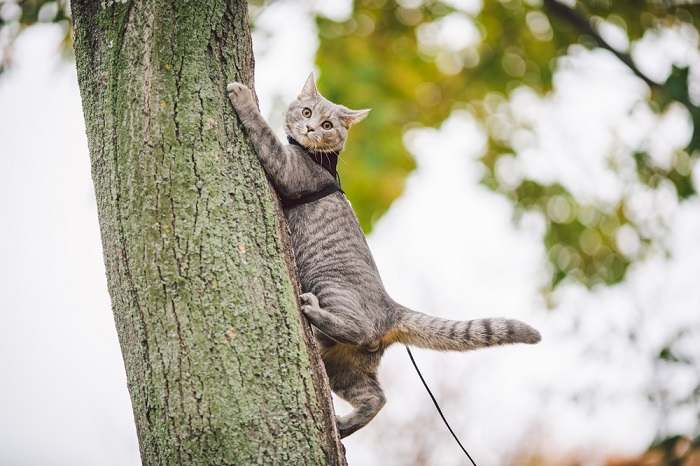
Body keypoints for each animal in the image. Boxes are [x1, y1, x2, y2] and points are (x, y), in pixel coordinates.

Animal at [226, 73, 540, 436]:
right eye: (306, 112)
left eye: (327, 124)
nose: (310, 128)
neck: (317, 158)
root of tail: (391, 308)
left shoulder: (287, 169)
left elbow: (263, 132)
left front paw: (243, 97)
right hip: (344, 368)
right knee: (376, 397)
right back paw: (344, 425)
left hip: (331, 287)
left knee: (358, 329)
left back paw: (313, 311)